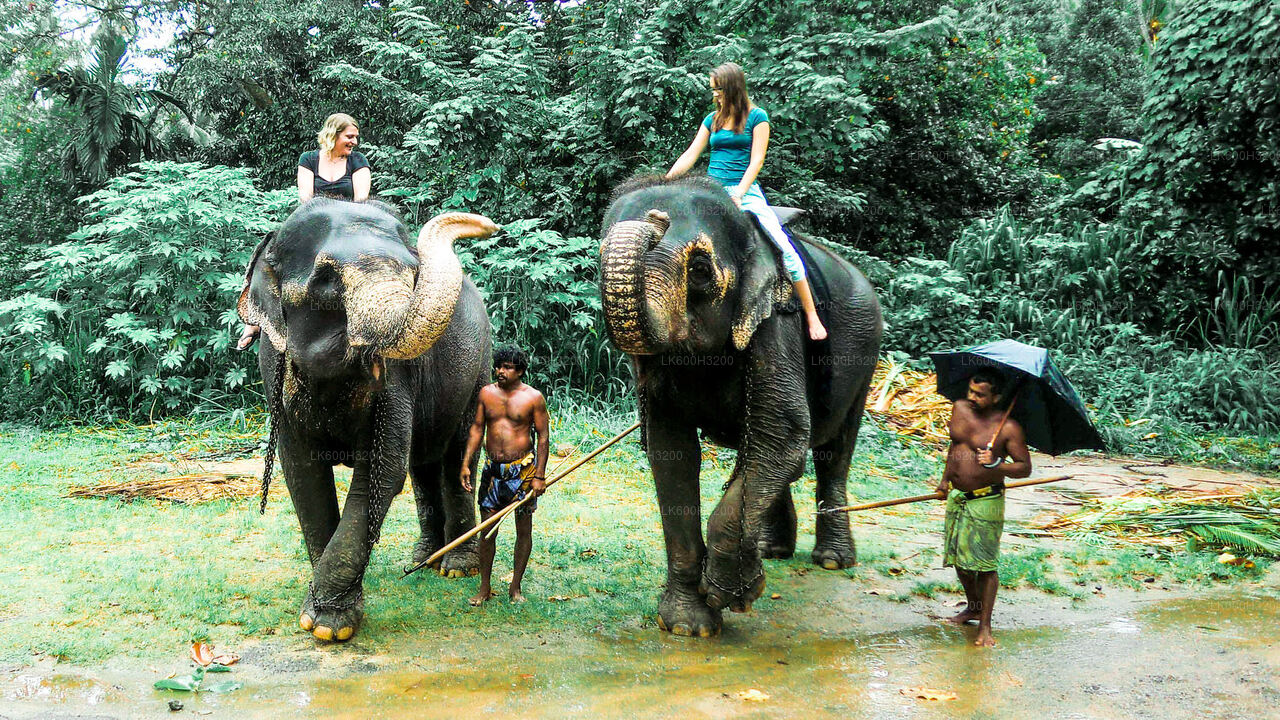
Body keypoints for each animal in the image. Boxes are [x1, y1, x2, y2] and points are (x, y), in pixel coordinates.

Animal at [238, 197, 496, 638]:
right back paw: (424, 558)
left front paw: (328, 626)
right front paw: (323, 616)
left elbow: (381, 471)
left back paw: (455, 568)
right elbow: (303, 474)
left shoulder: (397, 377)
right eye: (326, 280)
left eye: (413, 273)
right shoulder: (274, 368)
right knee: (423, 464)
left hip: (478, 367)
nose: (490, 225)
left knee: (456, 457)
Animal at [596, 176, 880, 635]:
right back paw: (770, 549)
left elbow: (780, 432)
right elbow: (671, 451)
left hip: (866, 356)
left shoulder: (776, 323)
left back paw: (832, 560)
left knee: (832, 451)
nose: (656, 219)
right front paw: (688, 625)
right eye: (599, 258)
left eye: (699, 270)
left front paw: (733, 594)